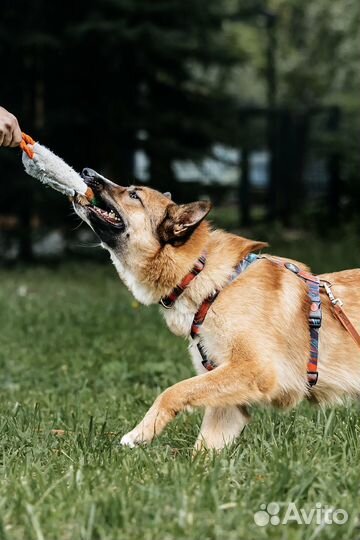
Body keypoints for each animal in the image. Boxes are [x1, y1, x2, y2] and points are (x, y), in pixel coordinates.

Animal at [72, 169, 360, 452]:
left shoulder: (255, 371)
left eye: (134, 195)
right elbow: (203, 450)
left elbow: (172, 391)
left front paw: (141, 433)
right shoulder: (229, 403)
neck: (205, 280)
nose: (86, 172)